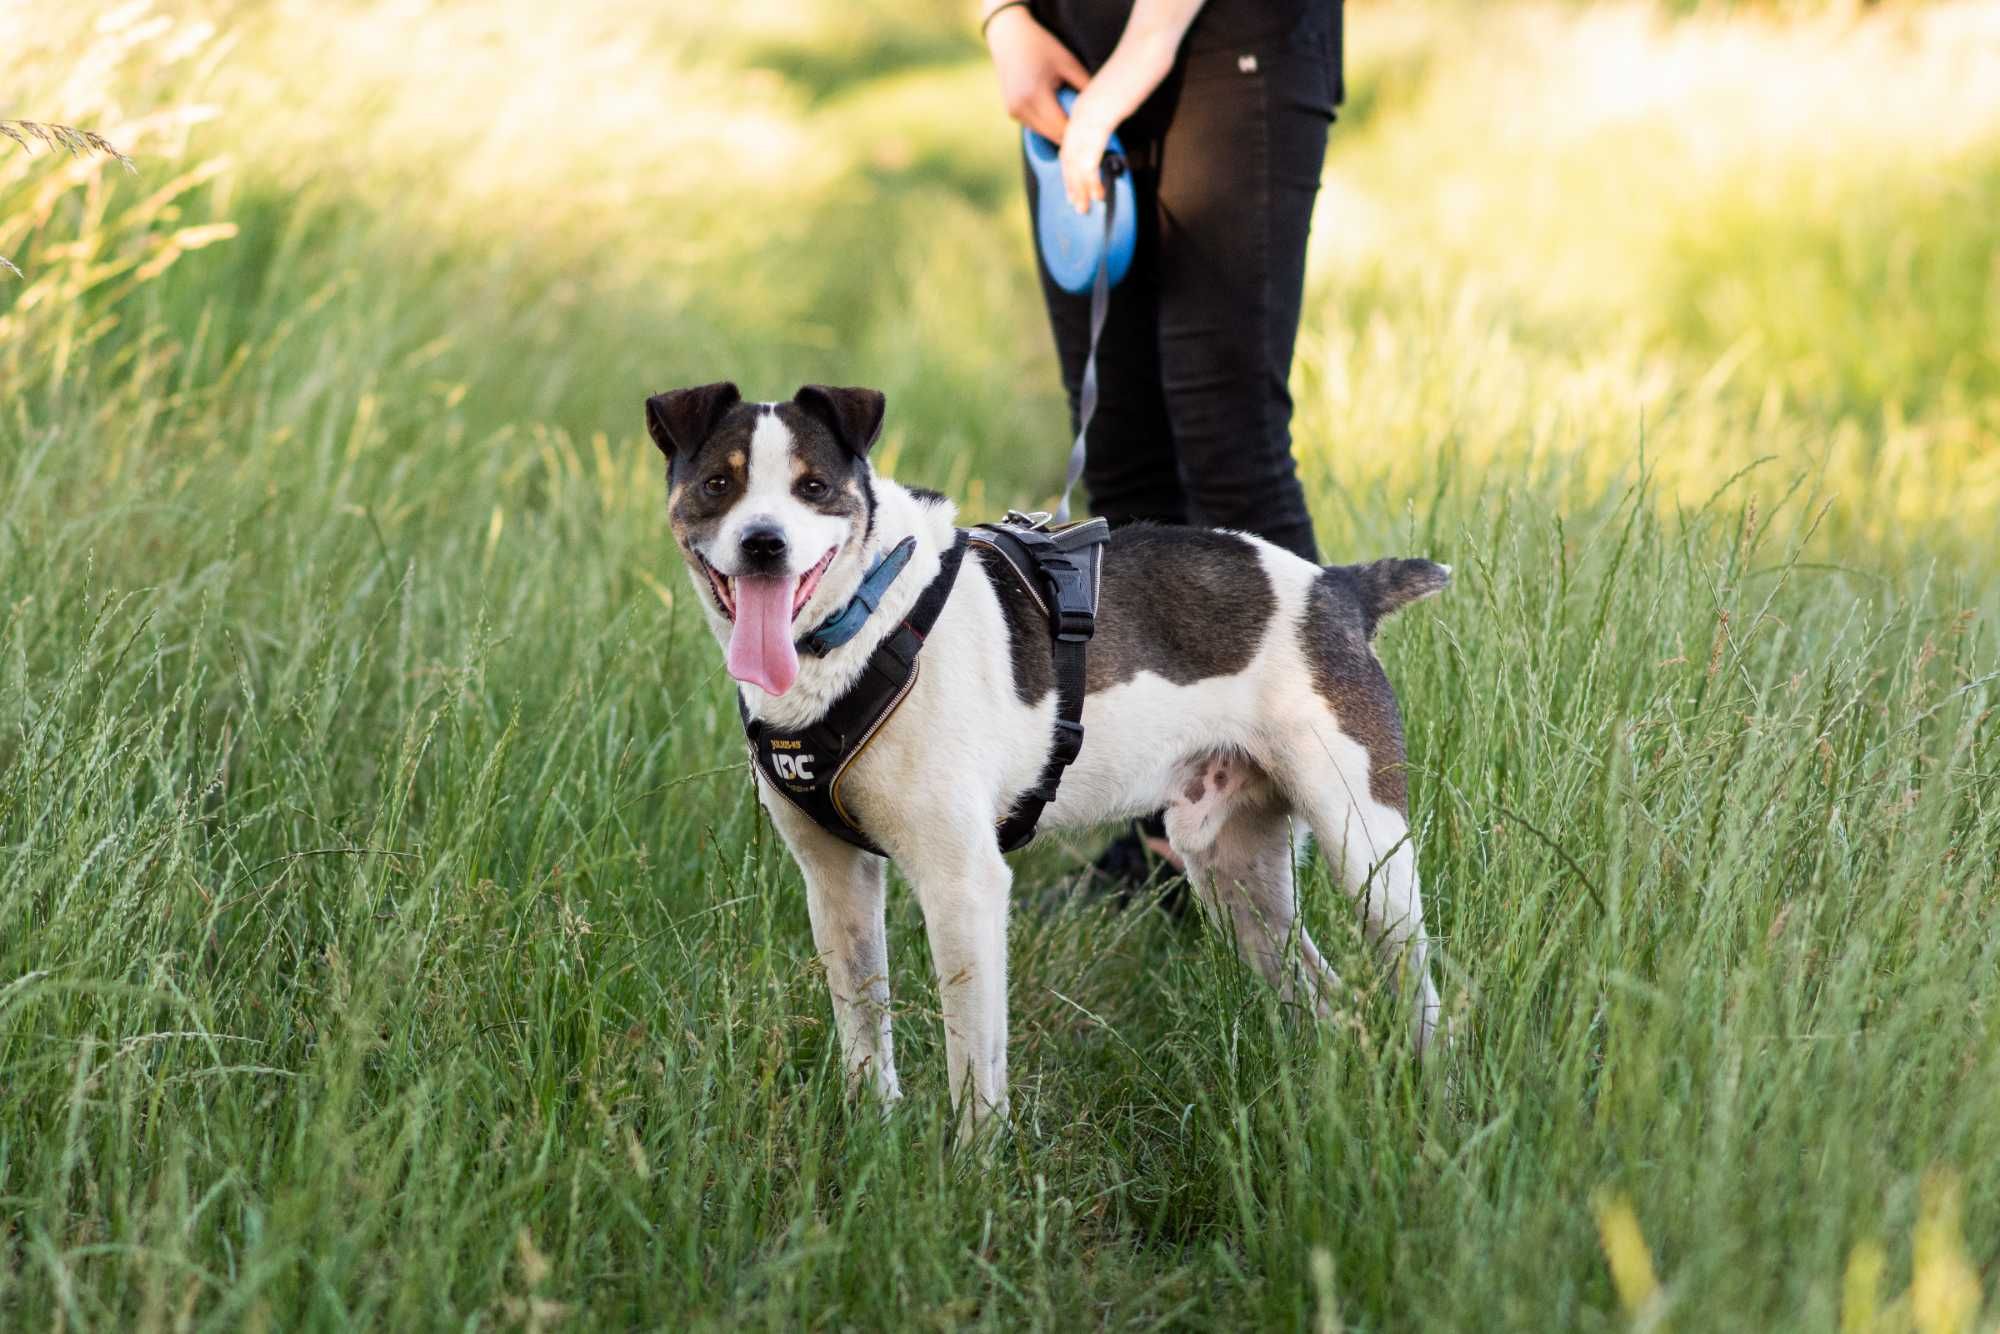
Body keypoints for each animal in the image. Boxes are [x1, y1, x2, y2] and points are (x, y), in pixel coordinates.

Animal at [648, 380, 1448, 1136]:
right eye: (718, 484)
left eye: (812, 486)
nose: (763, 543)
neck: (866, 619)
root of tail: (1340, 588)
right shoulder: (836, 879)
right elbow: (864, 1032)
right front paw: (872, 1140)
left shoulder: (964, 885)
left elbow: (974, 1065)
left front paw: (973, 1170)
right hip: (1234, 875)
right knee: (1329, 999)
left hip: (1366, 850)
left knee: (1420, 992)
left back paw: (1436, 1099)